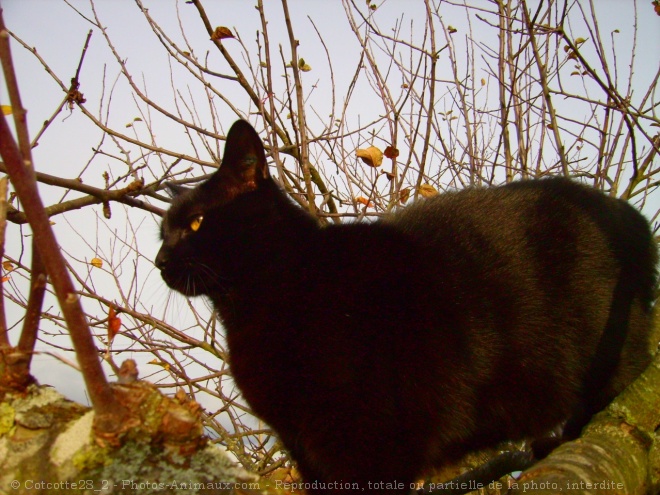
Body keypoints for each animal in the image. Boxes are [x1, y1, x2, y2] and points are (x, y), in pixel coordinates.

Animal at [157, 119, 656, 492]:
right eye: (164, 231)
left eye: (196, 223)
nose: (160, 260)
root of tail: (625, 213)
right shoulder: (304, 448)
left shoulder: (368, 442)